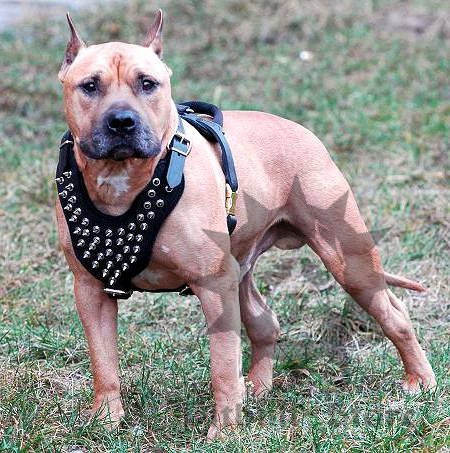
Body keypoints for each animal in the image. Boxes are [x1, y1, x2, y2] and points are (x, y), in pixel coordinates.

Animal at [56, 9, 436, 438]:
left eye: (147, 83)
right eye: (90, 85)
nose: (122, 121)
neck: (127, 181)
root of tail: (300, 129)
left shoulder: (213, 285)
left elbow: (222, 365)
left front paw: (224, 431)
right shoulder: (90, 292)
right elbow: (103, 361)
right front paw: (106, 419)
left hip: (349, 262)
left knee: (394, 315)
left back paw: (420, 381)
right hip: (241, 271)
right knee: (265, 323)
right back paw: (257, 386)